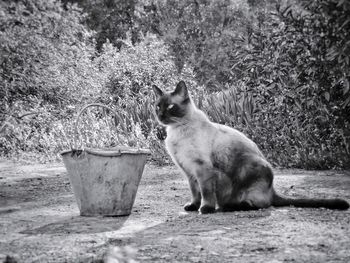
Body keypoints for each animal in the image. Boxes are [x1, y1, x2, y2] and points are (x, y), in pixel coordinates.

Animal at [152, 81, 348, 216]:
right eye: (157, 106)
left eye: (171, 107)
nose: (160, 116)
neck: (177, 131)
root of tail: (272, 189)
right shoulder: (189, 171)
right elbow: (195, 192)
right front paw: (193, 207)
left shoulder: (202, 169)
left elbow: (206, 192)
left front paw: (205, 209)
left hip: (250, 167)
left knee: (259, 204)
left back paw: (227, 207)